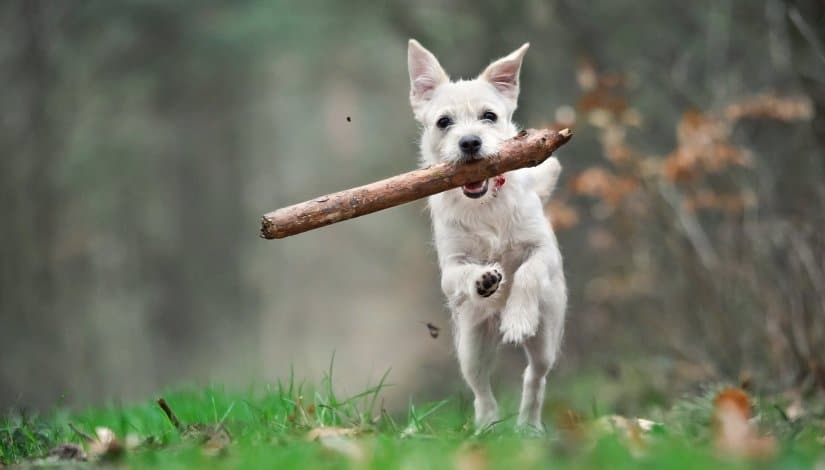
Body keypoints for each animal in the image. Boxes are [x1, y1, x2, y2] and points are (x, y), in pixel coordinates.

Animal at [406, 39, 568, 430]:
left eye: (489, 116)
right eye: (444, 122)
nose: (469, 142)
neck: (486, 203)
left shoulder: (543, 250)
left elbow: (527, 272)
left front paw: (518, 319)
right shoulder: (450, 268)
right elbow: (464, 272)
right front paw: (483, 278)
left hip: (546, 335)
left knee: (535, 377)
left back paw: (528, 426)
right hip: (472, 343)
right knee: (481, 389)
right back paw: (488, 427)